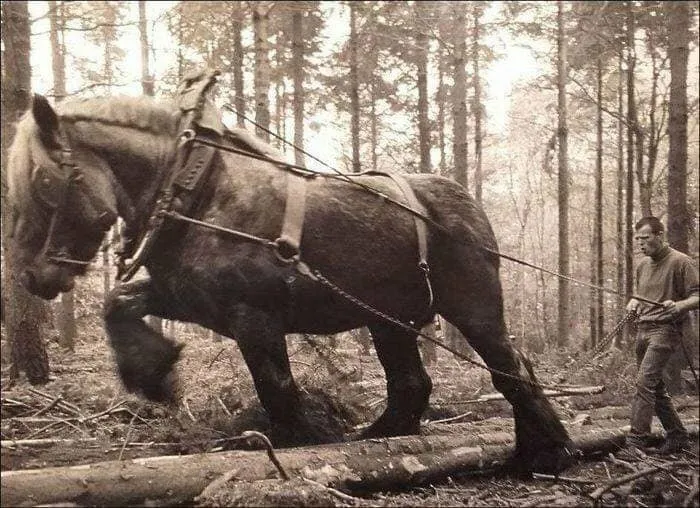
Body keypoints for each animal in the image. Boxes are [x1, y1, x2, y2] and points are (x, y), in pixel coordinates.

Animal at [7, 92, 575, 473]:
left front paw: (301, 440)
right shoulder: (195, 301)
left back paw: (545, 452)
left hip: (474, 308)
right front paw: (153, 373)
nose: (33, 276)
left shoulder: (253, 316)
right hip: (389, 320)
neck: (200, 193)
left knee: (511, 368)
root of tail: (464, 200)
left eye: (43, 181)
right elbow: (117, 302)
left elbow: (275, 385)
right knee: (412, 381)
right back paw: (386, 437)